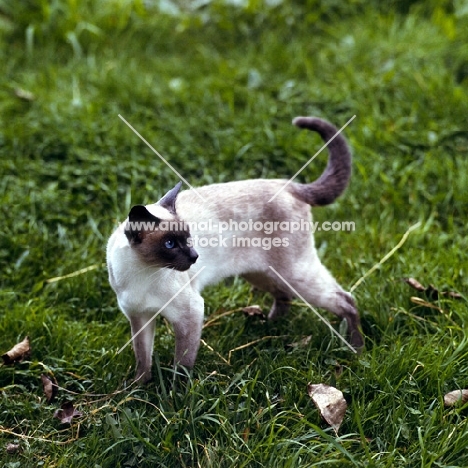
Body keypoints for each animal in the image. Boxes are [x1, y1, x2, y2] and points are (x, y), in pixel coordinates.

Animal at [108, 117, 364, 384]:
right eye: (170, 244)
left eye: (187, 238)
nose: (195, 257)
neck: (142, 272)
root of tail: (289, 185)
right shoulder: (140, 318)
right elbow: (143, 360)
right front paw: (136, 389)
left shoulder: (190, 313)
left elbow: (182, 365)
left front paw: (175, 392)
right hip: (261, 273)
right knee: (284, 295)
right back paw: (269, 328)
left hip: (295, 274)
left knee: (346, 300)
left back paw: (356, 350)